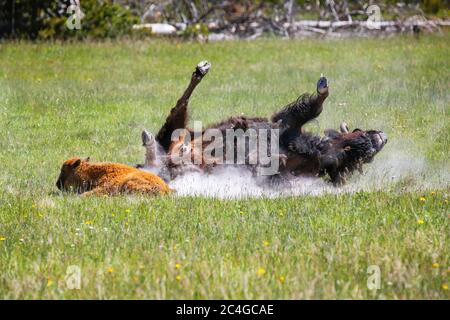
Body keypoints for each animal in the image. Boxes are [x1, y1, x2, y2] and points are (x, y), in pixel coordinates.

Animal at [138, 60, 386, 185]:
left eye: (366, 157)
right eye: (359, 131)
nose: (380, 136)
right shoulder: (285, 126)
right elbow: (311, 107)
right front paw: (323, 85)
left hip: (184, 163)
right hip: (178, 128)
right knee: (180, 105)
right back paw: (201, 70)